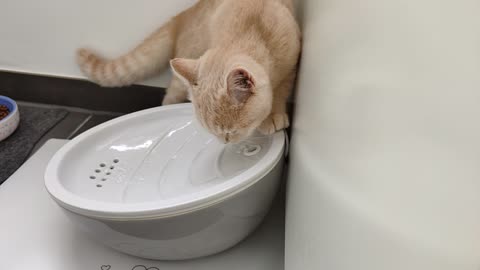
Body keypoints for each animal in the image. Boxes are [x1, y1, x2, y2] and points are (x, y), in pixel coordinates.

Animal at [77, 0, 300, 143]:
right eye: (218, 133)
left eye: (231, 132)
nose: (224, 142)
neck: (254, 28)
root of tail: (182, 16)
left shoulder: (291, 63)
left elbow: (280, 89)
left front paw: (274, 113)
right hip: (182, 74)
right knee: (168, 99)